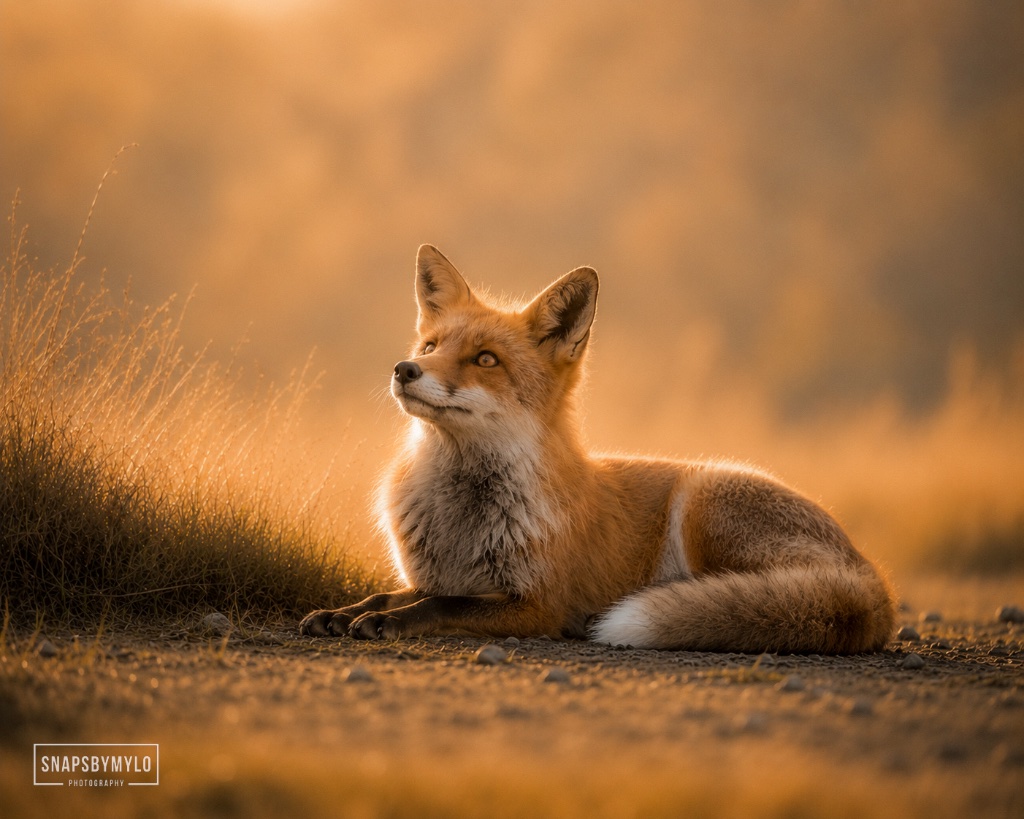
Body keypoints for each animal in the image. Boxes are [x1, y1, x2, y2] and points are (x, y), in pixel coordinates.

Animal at [300, 245, 896, 653]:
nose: (405, 369)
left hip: (704, 500)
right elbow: (393, 594)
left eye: (486, 359)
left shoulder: (536, 604)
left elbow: (440, 605)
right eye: (430, 346)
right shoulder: (433, 576)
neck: (461, 521)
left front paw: (389, 623)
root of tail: (873, 580)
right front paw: (346, 612)